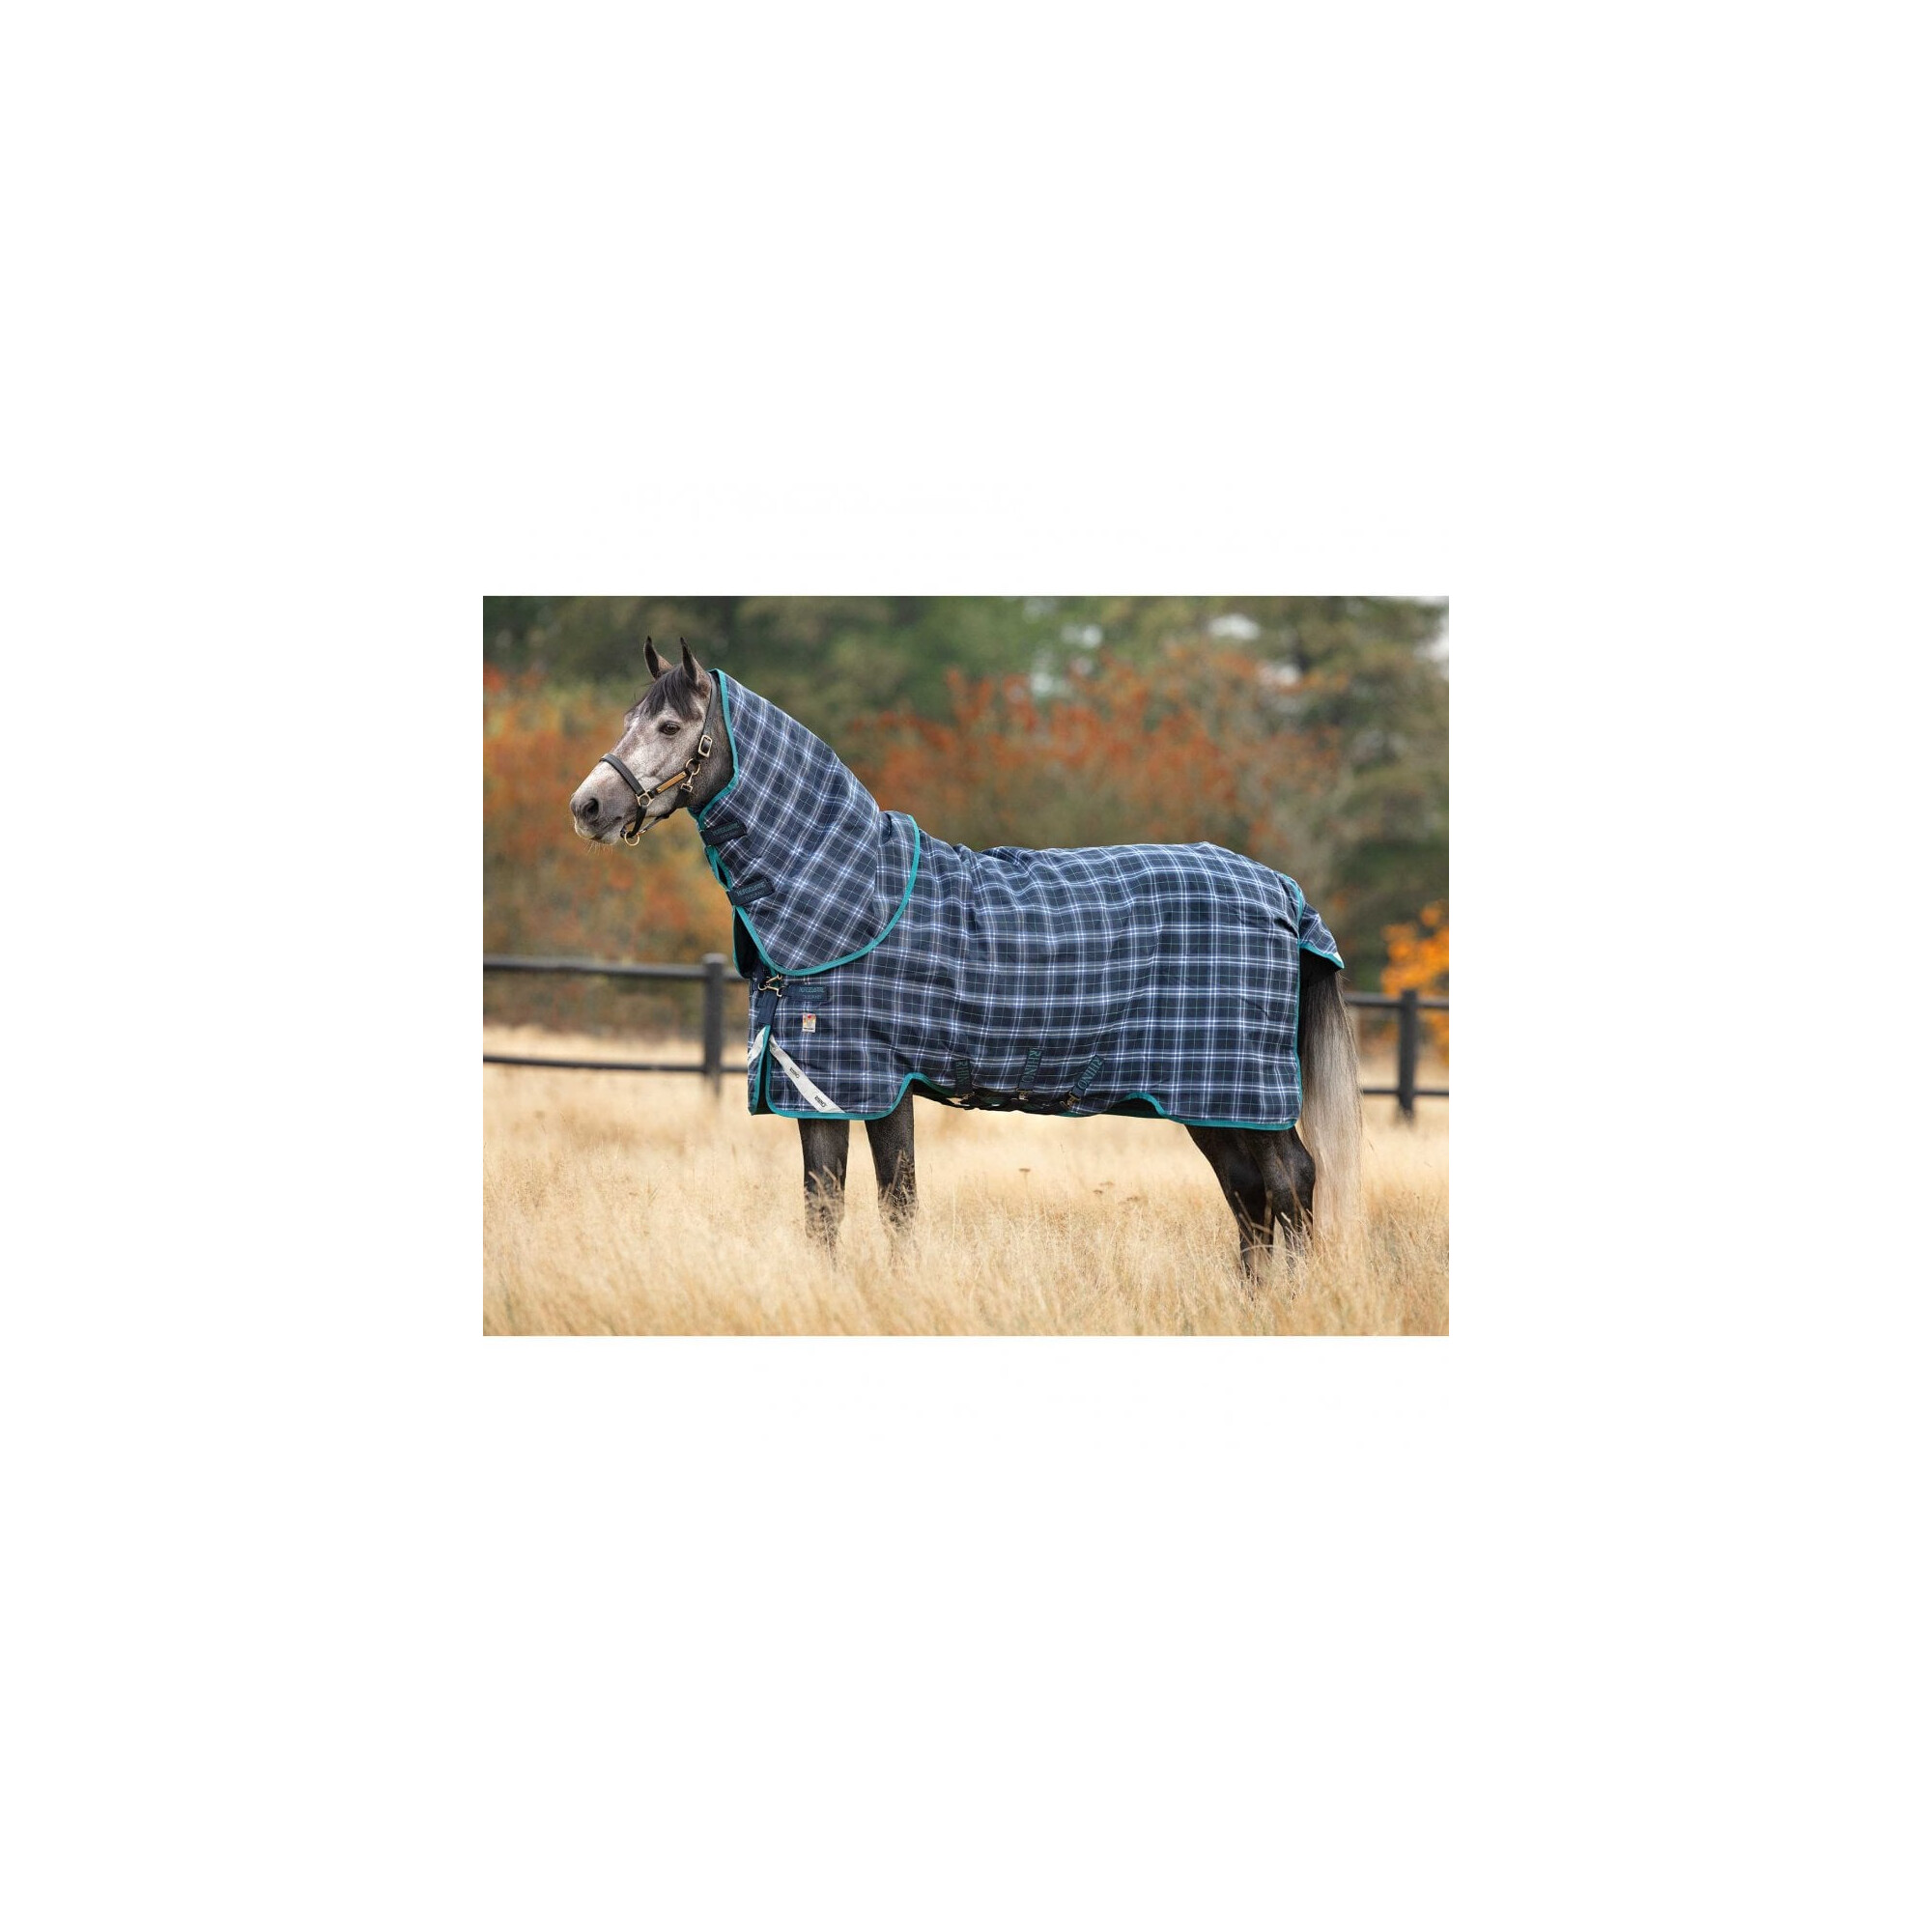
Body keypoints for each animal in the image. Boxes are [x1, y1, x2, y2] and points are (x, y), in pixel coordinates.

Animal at [569, 639, 1361, 1277]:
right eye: (627, 722)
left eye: (671, 727)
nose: (588, 807)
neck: (853, 891)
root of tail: (1281, 892)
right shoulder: (843, 1087)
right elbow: (846, 1207)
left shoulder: (859, 1081)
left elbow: (876, 1202)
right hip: (1216, 1101)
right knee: (1250, 1196)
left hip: (1238, 1092)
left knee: (1289, 1182)